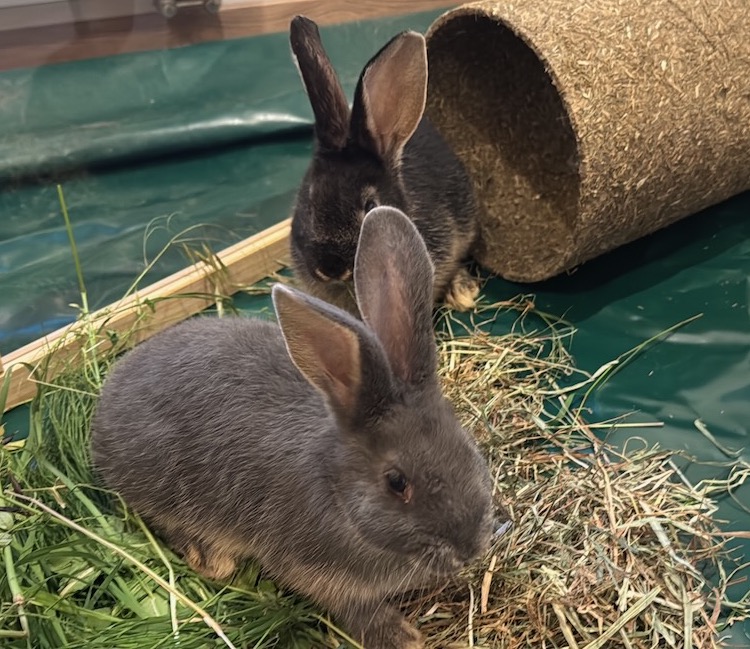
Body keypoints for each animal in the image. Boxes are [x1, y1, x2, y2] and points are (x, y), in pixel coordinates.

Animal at [90, 206, 502, 649]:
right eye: (396, 482)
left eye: (468, 447)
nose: (470, 549)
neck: (338, 490)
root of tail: (104, 406)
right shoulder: (315, 571)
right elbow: (353, 608)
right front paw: (401, 636)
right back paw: (213, 560)